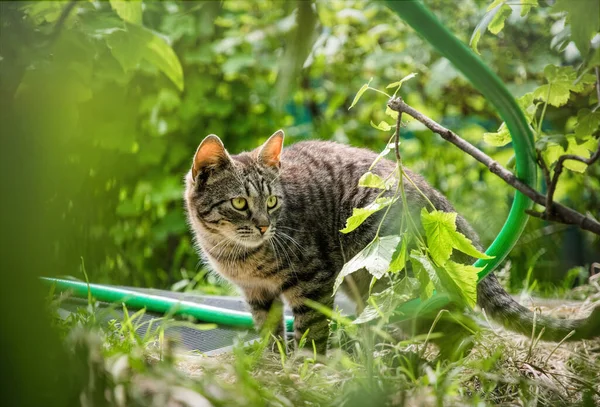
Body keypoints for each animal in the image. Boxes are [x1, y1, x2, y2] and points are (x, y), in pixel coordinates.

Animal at [184, 130, 600, 354]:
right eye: (240, 203)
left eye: (271, 201)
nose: (264, 226)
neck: (236, 254)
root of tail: (442, 206)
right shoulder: (256, 293)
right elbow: (268, 327)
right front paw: (273, 359)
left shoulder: (312, 281)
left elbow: (310, 328)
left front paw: (304, 363)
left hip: (382, 272)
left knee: (453, 322)